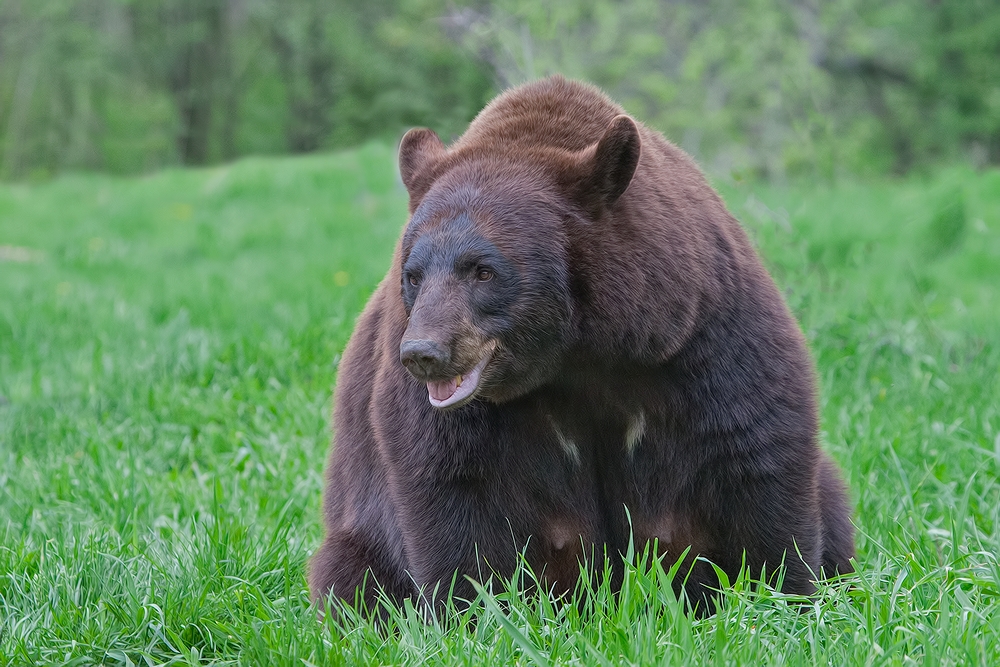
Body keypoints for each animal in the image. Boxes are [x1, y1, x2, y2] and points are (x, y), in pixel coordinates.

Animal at [308, 75, 856, 612]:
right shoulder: (442, 411)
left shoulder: (700, 332)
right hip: (355, 536)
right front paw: (476, 611)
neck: (578, 354)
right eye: (414, 274)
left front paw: (781, 596)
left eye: (483, 270)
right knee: (351, 577)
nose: (423, 353)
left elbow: (755, 451)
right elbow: (455, 491)